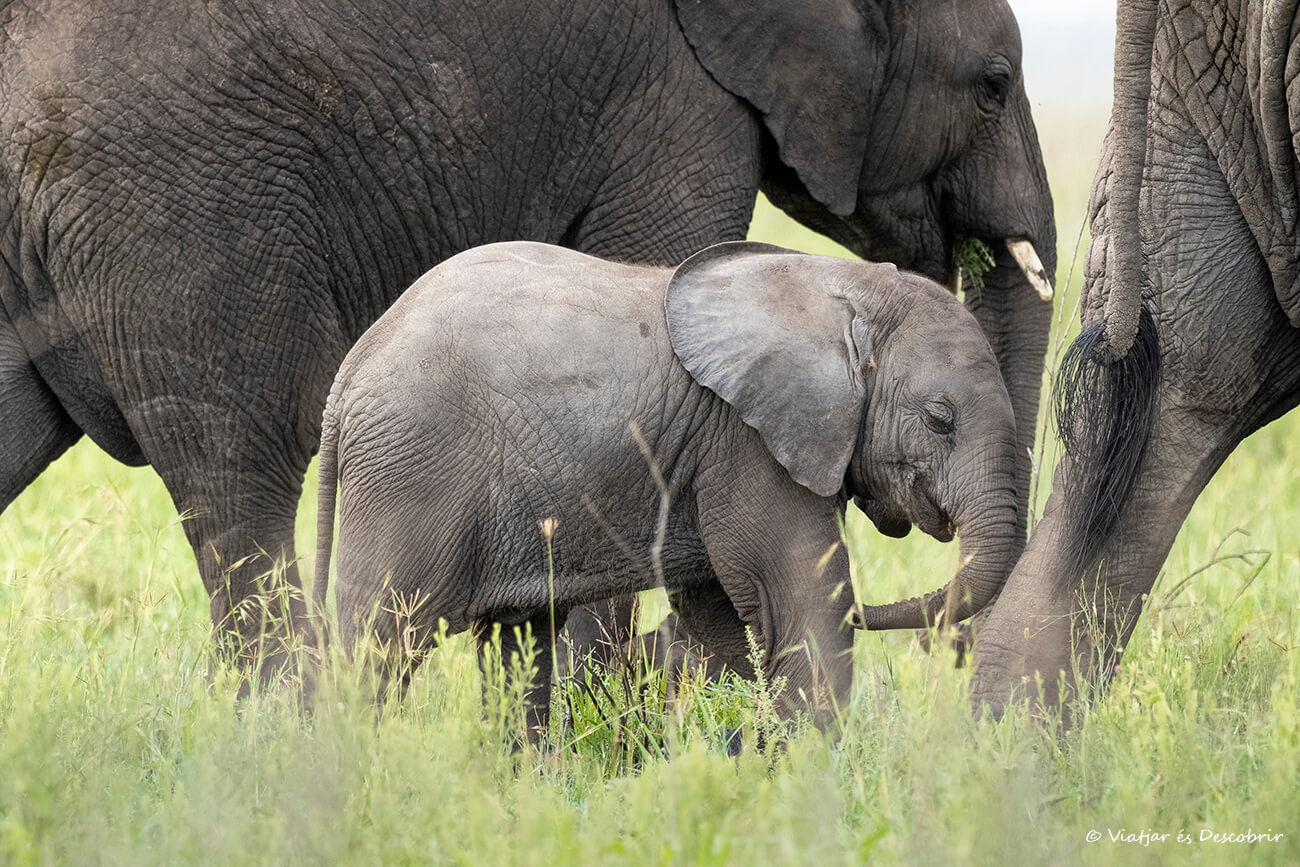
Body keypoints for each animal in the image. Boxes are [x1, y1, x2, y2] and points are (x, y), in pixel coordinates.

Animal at [0, 0, 1054, 670]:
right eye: (995, 84)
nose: (950, 652)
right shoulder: (677, 99)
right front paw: (611, 717)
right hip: (176, 205)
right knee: (241, 479)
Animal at [314, 241, 1021, 739]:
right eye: (940, 420)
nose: (879, 613)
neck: (844, 286)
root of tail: (348, 374)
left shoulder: (717, 453)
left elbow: (722, 616)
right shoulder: (745, 444)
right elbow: (801, 600)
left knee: (518, 649)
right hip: (410, 467)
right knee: (380, 639)